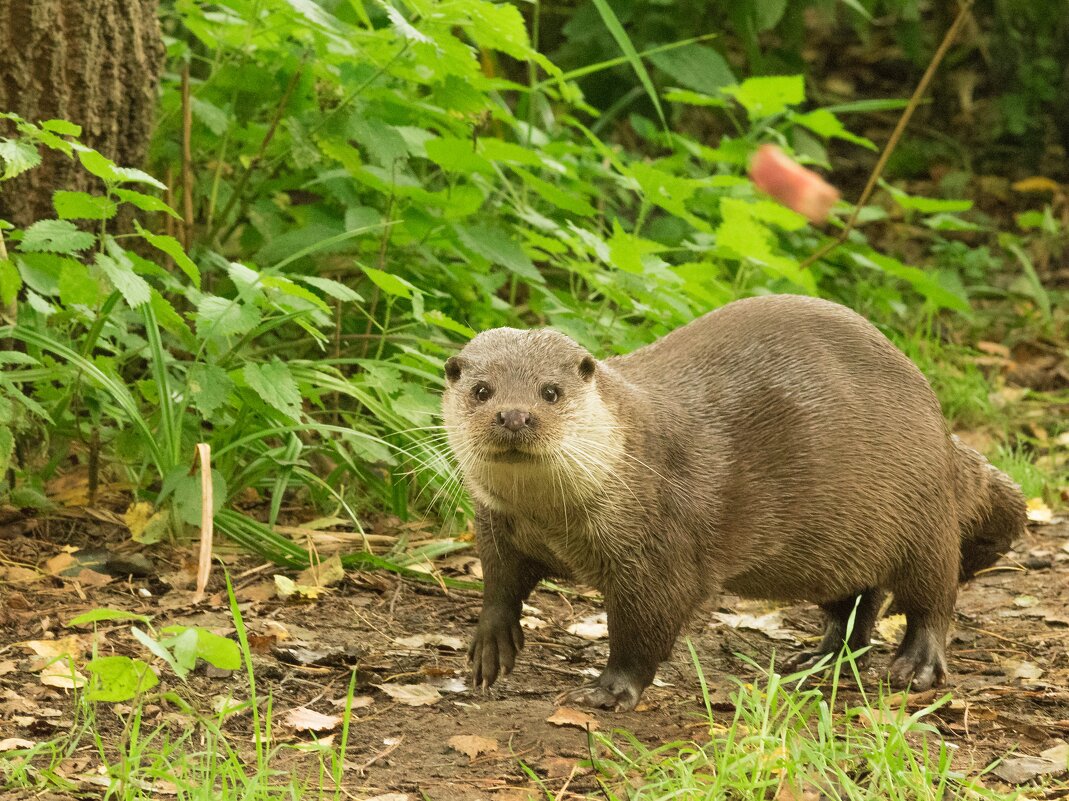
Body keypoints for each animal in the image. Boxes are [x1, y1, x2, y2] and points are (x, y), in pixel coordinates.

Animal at [438, 297, 1021, 710]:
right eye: (483, 390)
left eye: (550, 391)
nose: (514, 416)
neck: (555, 522)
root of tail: (940, 428)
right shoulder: (497, 524)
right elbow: (500, 581)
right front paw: (490, 640)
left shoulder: (660, 546)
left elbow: (647, 623)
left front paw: (611, 689)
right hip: (841, 546)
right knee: (857, 605)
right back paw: (816, 658)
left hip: (923, 515)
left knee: (933, 596)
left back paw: (915, 667)